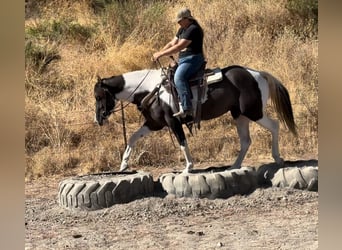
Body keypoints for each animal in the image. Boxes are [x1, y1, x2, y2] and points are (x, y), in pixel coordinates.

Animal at [94, 64, 296, 173]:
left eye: (99, 96)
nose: (98, 119)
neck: (151, 89)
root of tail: (258, 74)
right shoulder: (154, 124)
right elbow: (133, 138)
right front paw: (123, 165)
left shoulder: (173, 122)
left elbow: (182, 142)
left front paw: (188, 167)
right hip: (240, 115)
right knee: (246, 140)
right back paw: (234, 166)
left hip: (254, 112)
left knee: (275, 125)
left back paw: (277, 158)